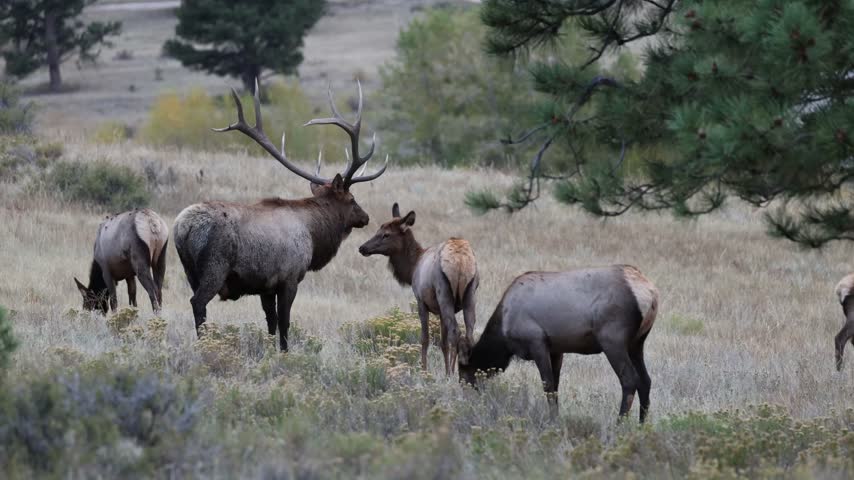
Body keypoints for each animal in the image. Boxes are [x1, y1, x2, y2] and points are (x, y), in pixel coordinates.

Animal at [173, 80, 388, 351]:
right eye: (352, 200)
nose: (366, 217)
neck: (314, 235)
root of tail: (182, 228)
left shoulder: (265, 286)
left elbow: (270, 323)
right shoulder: (289, 277)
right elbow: (284, 323)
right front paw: (285, 353)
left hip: (189, 272)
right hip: (214, 267)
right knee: (197, 303)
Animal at [359, 203, 478, 376]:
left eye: (386, 234)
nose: (362, 248)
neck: (411, 268)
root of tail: (461, 261)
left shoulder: (421, 301)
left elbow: (425, 338)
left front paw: (424, 370)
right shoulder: (439, 311)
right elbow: (442, 343)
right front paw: (443, 370)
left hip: (444, 294)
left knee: (456, 332)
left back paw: (452, 373)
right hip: (470, 295)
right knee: (469, 333)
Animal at [457, 265, 658, 422]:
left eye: (464, 376)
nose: (466, 403)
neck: (504, 330)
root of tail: (651, 294)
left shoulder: (537, 342)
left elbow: (548, 386)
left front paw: (553, 422)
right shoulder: (556, 350)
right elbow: (555, 387)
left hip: (612, 340)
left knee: (629, 380)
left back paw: (619, 424)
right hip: (637, 343)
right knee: (645, 380)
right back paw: (641, 425)